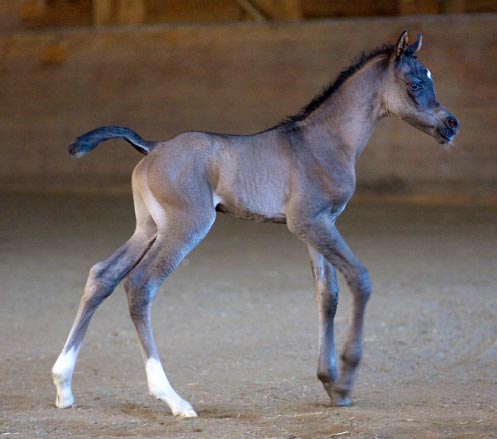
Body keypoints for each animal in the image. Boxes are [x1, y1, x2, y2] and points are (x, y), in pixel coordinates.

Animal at [52, 32, 460, 418]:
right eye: (415, 84)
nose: (451, 124)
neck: (324, 141)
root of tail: (151, 147)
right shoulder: (310, 222)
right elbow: (360, 278)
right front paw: (346, 379)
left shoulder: (319, 224)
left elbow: (327, 296)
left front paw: (330, 384)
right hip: (186, 226)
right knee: (140, 285)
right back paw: (172, 399)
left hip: (149, 228)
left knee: (102, 275)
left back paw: (63, 386)